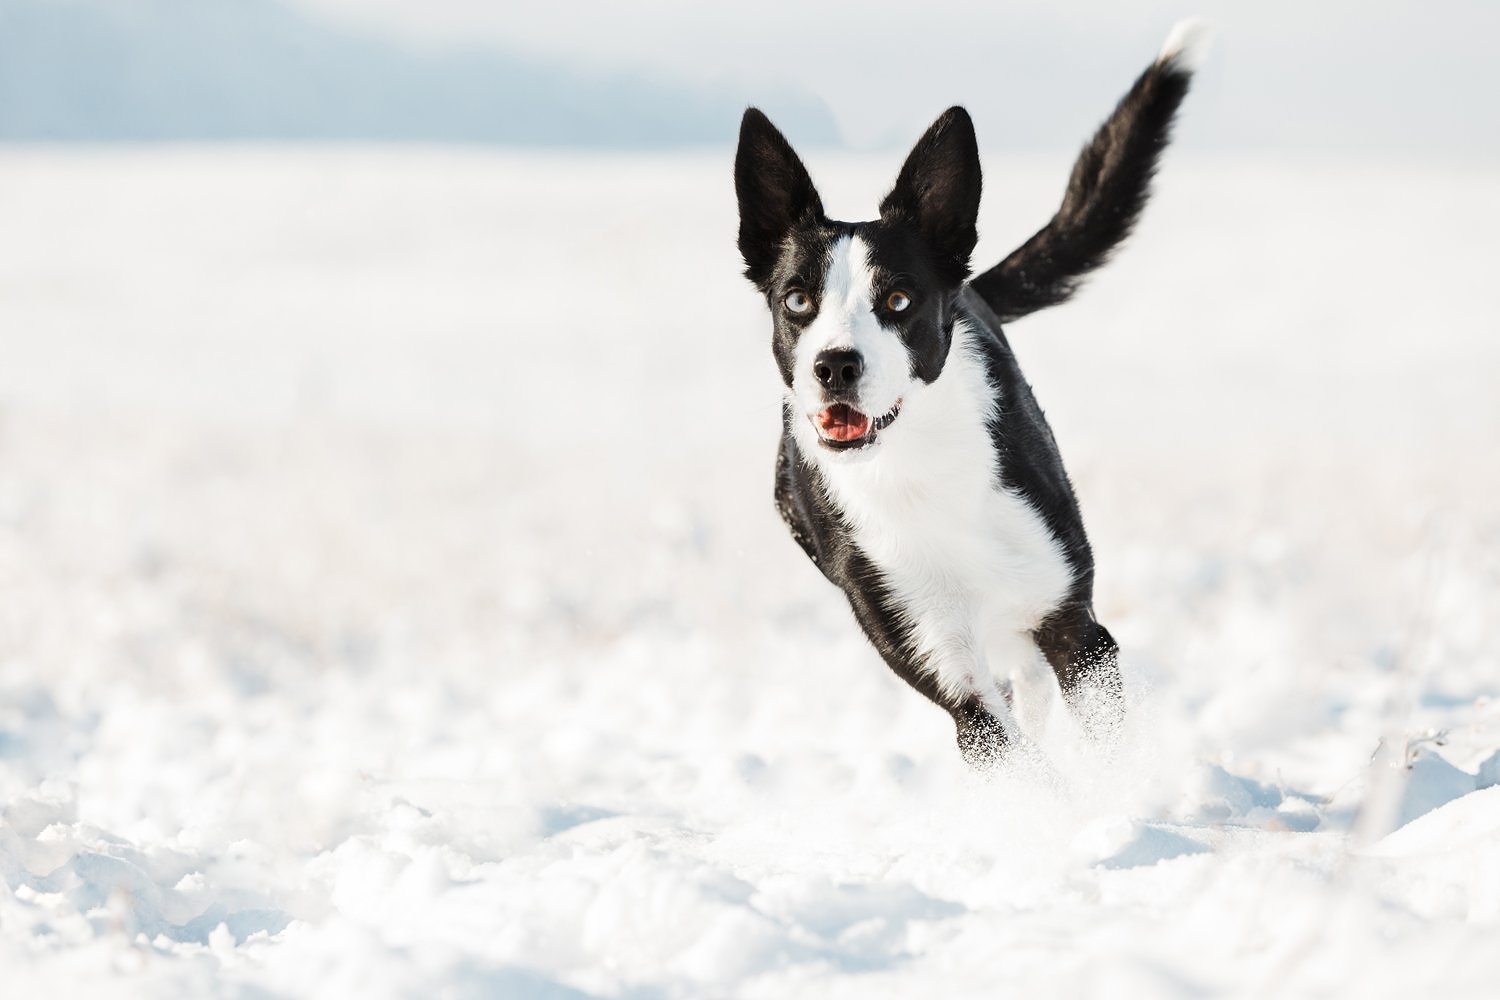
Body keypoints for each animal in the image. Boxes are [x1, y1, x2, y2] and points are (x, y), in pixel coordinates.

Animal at [735, 21, 1206, 767]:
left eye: (899, 299)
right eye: (798, 300)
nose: (835, 366)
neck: (918, 469)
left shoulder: (1078, 630)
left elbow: (1107, 752)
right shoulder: (946, 668)